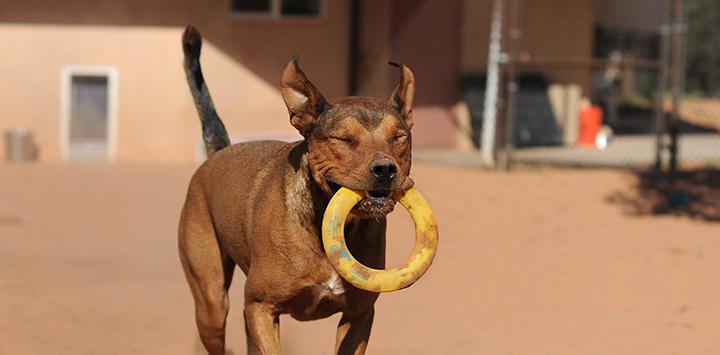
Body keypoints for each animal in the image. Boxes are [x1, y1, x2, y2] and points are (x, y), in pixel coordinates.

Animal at [177, 26, 416, 354]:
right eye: (344, 139)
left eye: (399, 137)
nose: (385, 169)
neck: (325, 225)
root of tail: (218, 153)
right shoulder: (261, 305)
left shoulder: (360, 314)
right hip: (210, 300)